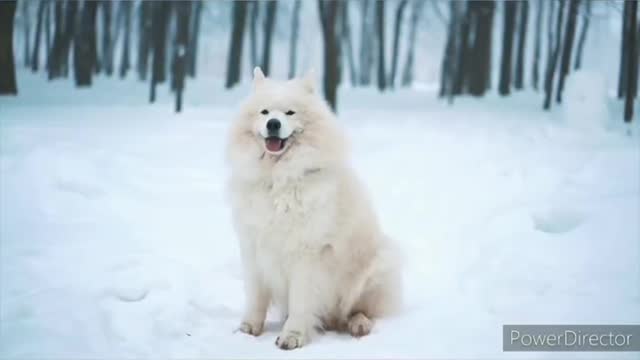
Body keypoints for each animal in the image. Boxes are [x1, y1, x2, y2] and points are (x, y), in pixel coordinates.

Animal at [226, 67, 400, 348]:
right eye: (264, 112)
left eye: (290, 113)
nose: (273, 124)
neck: (279, 179)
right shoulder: (254, 247)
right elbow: (255, 296)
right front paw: (248, 329)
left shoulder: (307, 254)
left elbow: (301, 302)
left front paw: (292, 336)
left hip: (376, 267)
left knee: (359, 310)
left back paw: (358, 324)